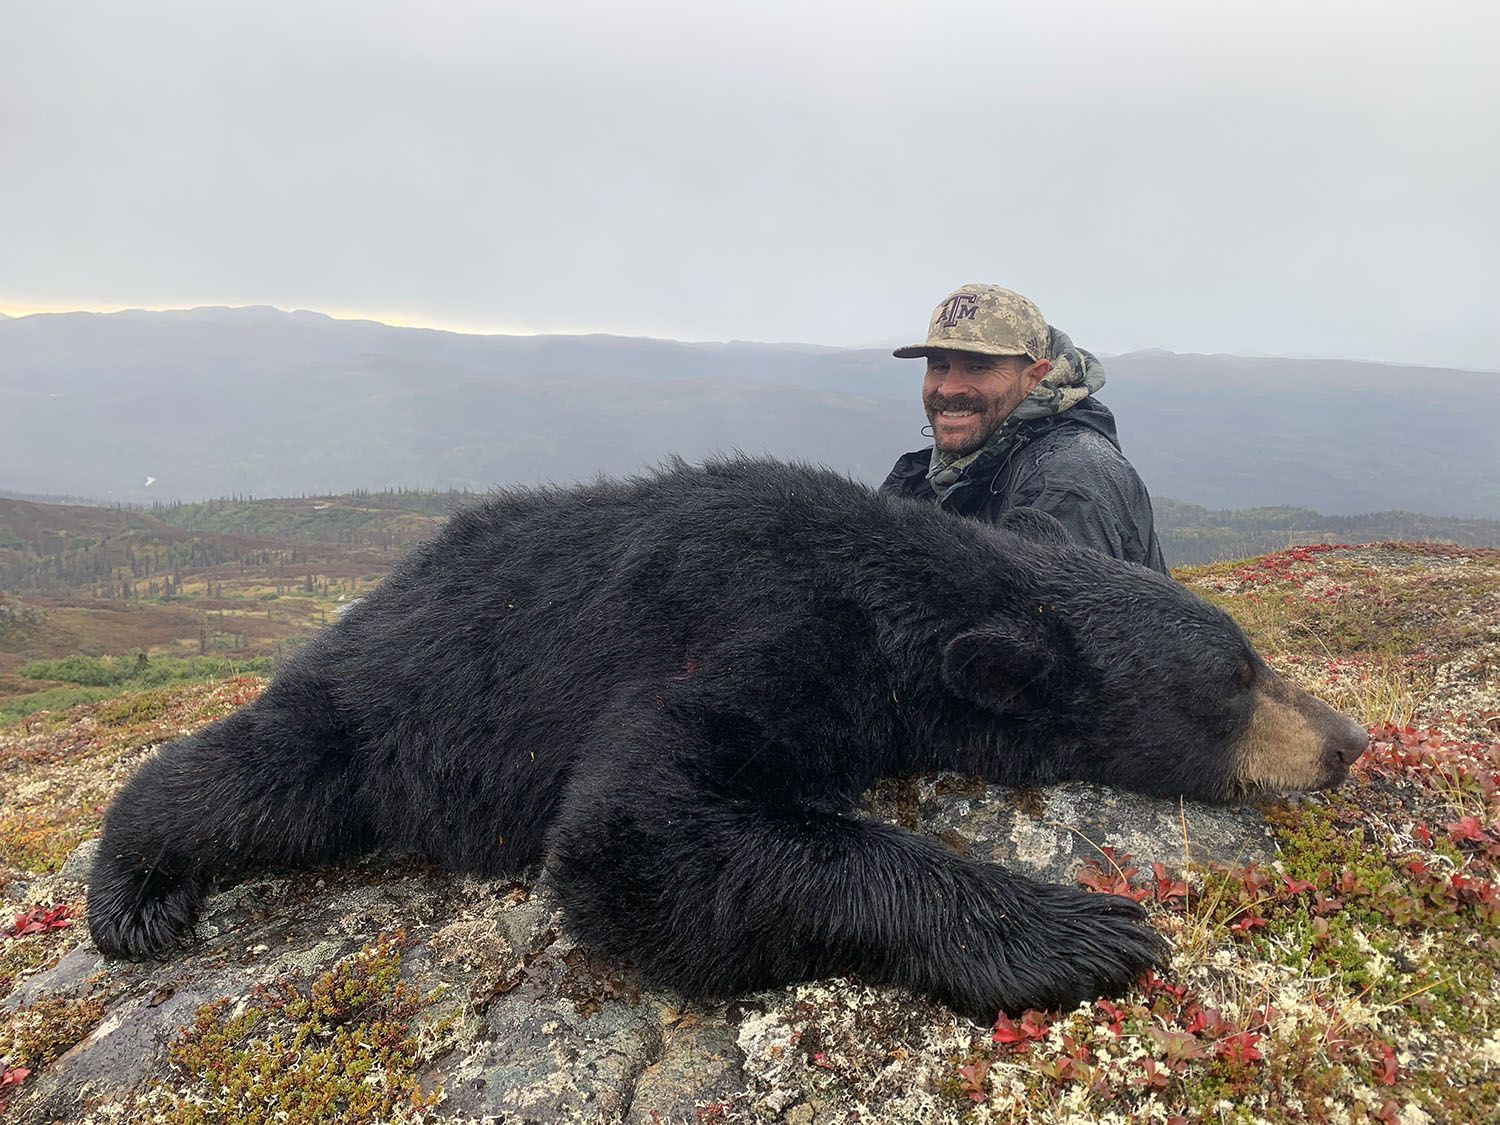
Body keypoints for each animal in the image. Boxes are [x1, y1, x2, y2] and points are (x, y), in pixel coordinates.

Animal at [86, 457, 1369, 1021]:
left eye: (1251, 653)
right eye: (1233, 680)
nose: (1350, 739)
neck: (901, 602)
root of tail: (377, 595)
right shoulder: (753, 630)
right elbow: (632, 832)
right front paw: (1070, 932)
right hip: (378, 711)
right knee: (252, 777)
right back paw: (135, 892)